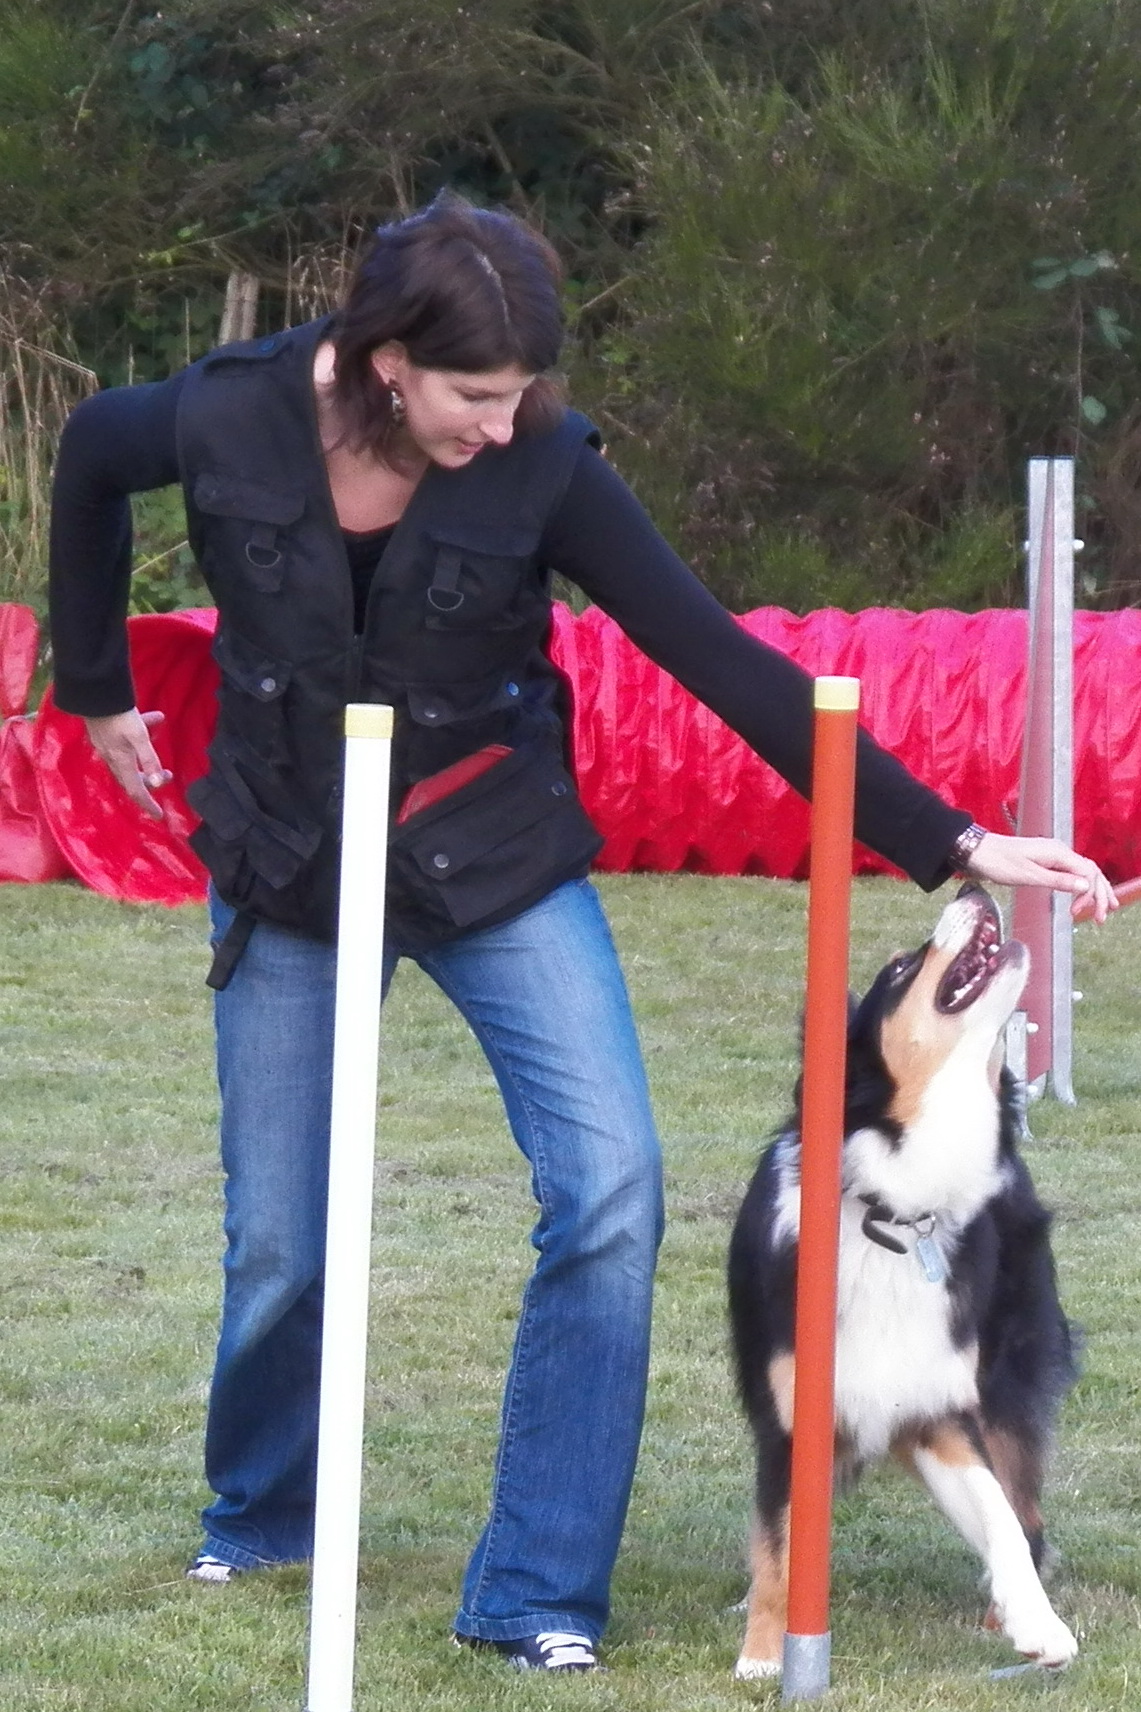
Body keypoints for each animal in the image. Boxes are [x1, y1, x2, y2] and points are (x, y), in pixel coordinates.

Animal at [722, 883, 1082, 1670]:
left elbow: (1003, 1521)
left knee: (1028, 1512)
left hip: (1002, 1387)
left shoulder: (942, 1409)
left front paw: (1038, 1625)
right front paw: (763, 1655)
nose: (970, 885)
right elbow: (776, 1545)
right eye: (897, 970)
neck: (892, 1215)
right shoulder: (792, 1419)